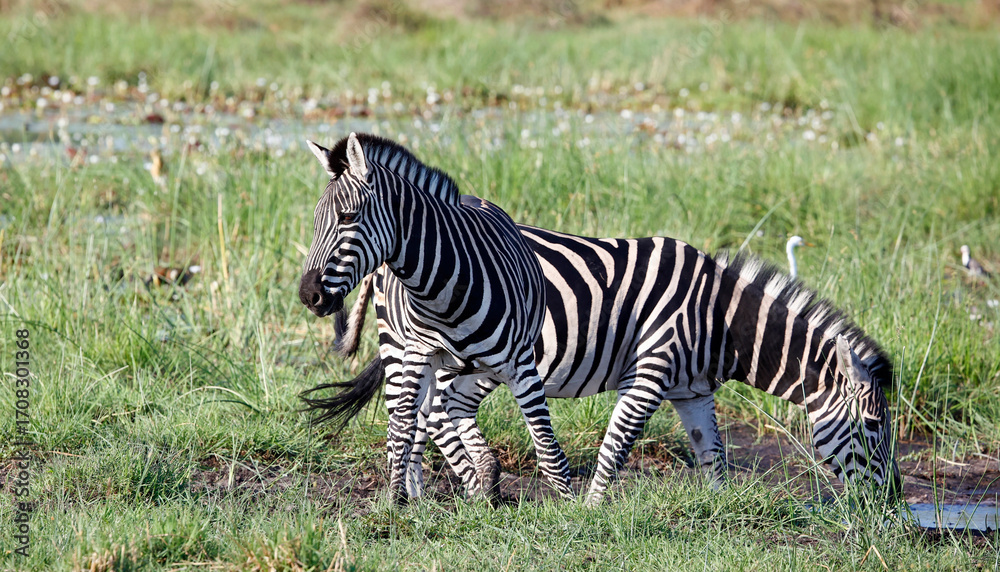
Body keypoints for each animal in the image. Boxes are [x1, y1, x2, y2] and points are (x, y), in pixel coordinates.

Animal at [297, 132, 574, 502]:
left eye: (347, 217)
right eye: (315, 223)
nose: (308, 295)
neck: (443, 289)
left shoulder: (521, 363)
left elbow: (546, 443)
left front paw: (573, 507)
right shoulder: (418, 352)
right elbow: (402, 423)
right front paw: (392, 502)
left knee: (433, 415)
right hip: (396, 347)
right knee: (408, 418)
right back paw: (419, 493)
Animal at [304, 225, 903, 506]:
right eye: (875, 425)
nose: (894, 499)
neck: (718, 319)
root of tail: (386, 258)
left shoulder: (692, 391)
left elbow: (713, 455)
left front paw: (719, 513)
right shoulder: (651, 372)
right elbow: (617, 446)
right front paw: (590, 513)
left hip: (457, 360)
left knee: (423, 412)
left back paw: (423, 494)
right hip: (432, 350)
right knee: (418, 412)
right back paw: (434, 492)